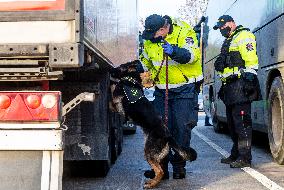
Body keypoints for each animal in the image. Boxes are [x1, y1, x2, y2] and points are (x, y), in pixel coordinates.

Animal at [109, 60, 197, 189]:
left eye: (119, 67)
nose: (110, 70)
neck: (131, 80)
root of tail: (168, 136)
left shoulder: (116, 105)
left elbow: (110, 98)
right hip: (158, 154)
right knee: (161, 169)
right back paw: (153, 180)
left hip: (149, 151)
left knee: (160, 171)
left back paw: (151, 184)